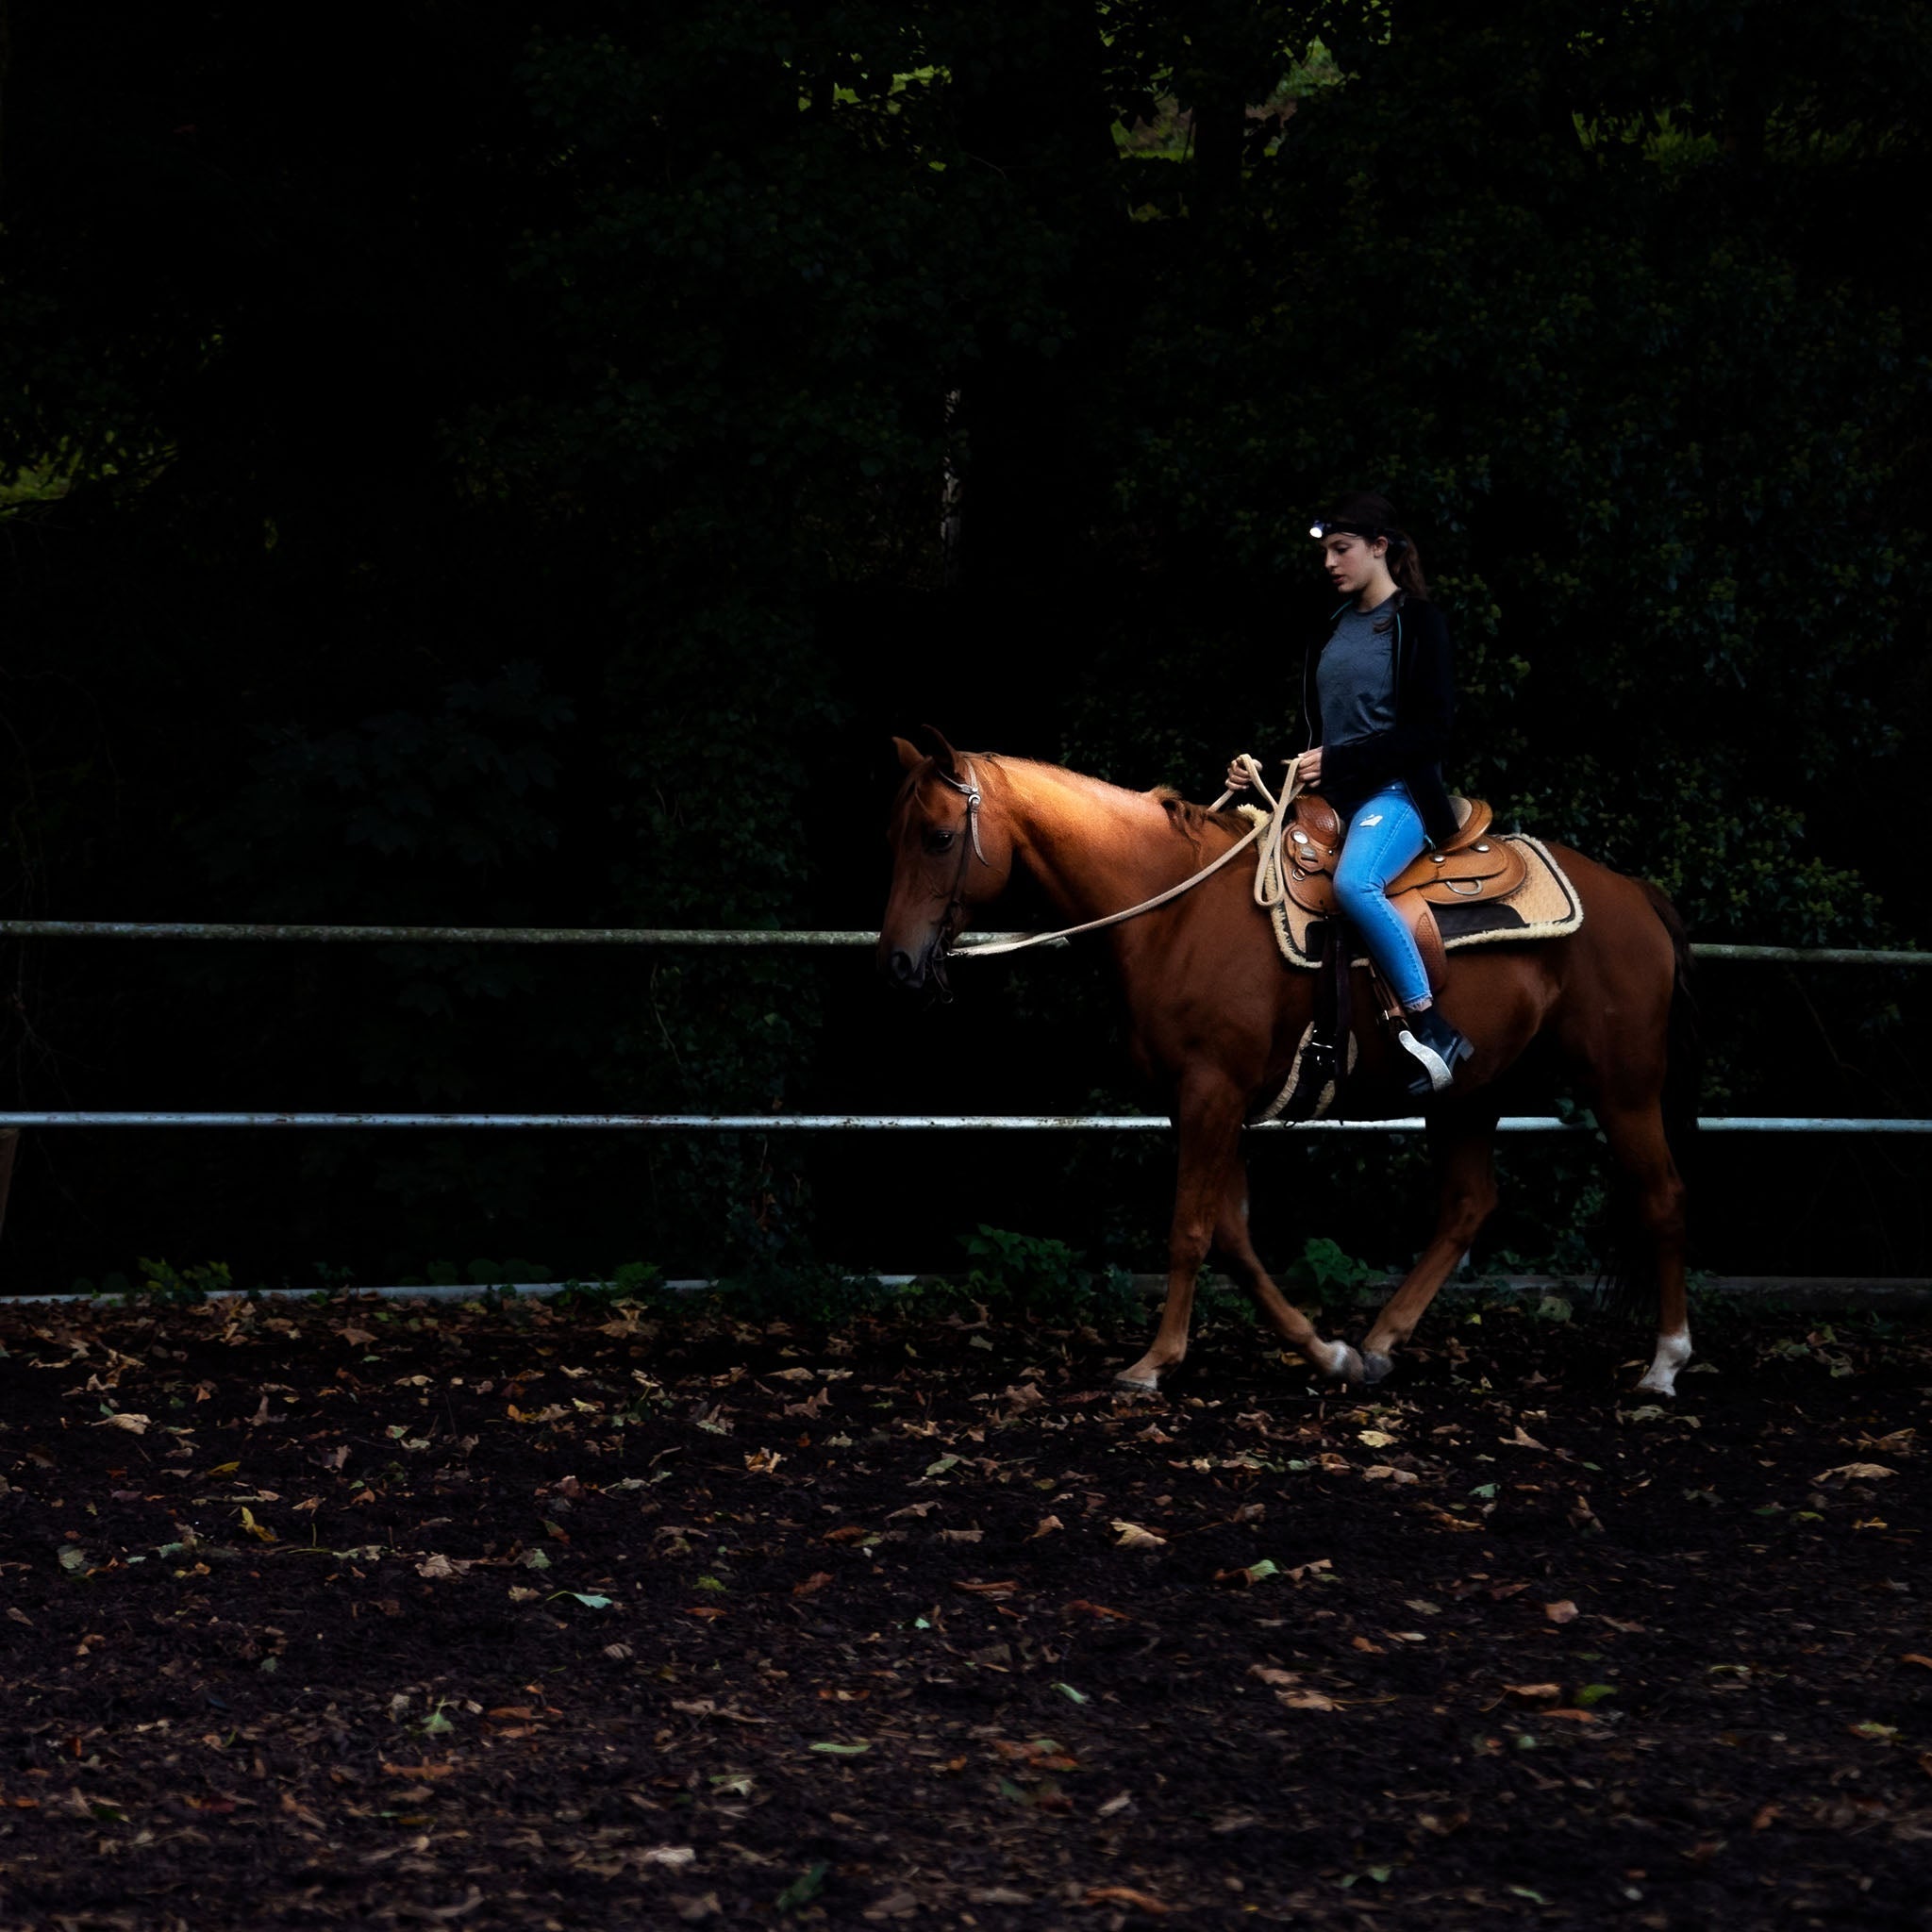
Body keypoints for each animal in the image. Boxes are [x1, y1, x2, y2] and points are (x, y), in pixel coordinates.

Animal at [877, 727, 1699, 1398]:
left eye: (940, 838)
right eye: (898, 835)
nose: (898, 964)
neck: (1175, 913)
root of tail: (1636, 894)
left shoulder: (1212, 1090)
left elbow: (1189, 1229)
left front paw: (1153, 1363)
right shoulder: (1204, 1100)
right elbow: (1233, 1238)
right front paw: (1324, 1352)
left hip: (1623, 1085)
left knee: (1662, 1196)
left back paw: (1665, 1364)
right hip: (1470, 1093)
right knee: (1469, 1205)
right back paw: (1379, 1343)